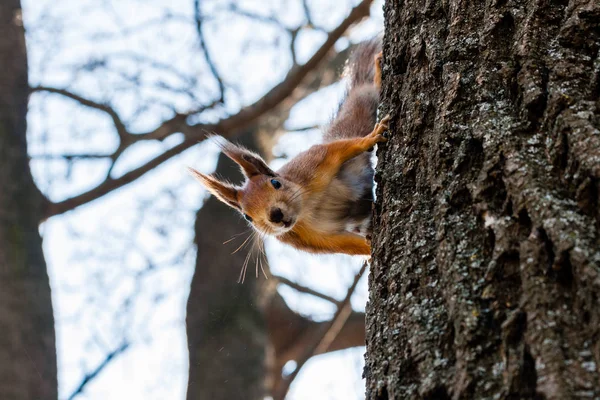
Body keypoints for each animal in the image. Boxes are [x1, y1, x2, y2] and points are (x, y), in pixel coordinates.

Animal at [189, 38, 390, 256]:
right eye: (246, 216)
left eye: (276, 182)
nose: (275, 215)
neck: (305, 207)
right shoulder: (308, 238)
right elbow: (346, 245)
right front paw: (370, 250)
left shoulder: (314, 163)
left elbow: (339, 149)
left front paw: (369, 139)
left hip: (358, 111)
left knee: (365, 94)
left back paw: (378, 74)